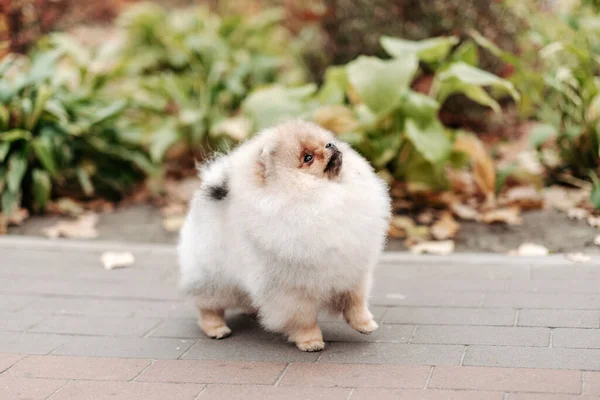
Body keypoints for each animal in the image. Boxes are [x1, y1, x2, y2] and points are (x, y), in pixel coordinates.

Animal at [177, 119, 394, 350]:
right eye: (307, 158)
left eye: (325, 142)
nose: (330, 145)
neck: (324, 194)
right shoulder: (292, 289)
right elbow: (303, 318)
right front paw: (310, 341)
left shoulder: (352, 272)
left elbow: (355, 303)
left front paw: (365, 324)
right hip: (213, 276)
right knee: (208, 306)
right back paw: (216, 328)